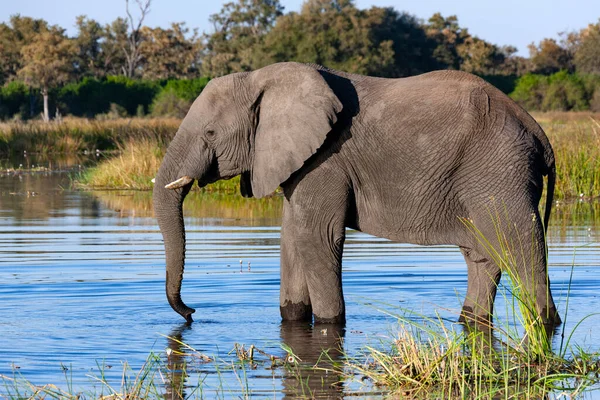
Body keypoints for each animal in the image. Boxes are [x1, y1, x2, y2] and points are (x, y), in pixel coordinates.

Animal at [152, 60, 560, 328]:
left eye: (210, 134)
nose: (192, 314)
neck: (262, 80)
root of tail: (538, 132)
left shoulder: (327, 160)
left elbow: (316, 237)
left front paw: (329, 324)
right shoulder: (302, 163)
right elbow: (292, 237)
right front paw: (294, 319)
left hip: (500, 170)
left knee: (522, 246)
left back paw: (545, 323)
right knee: (482, 252)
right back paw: (471, 321)